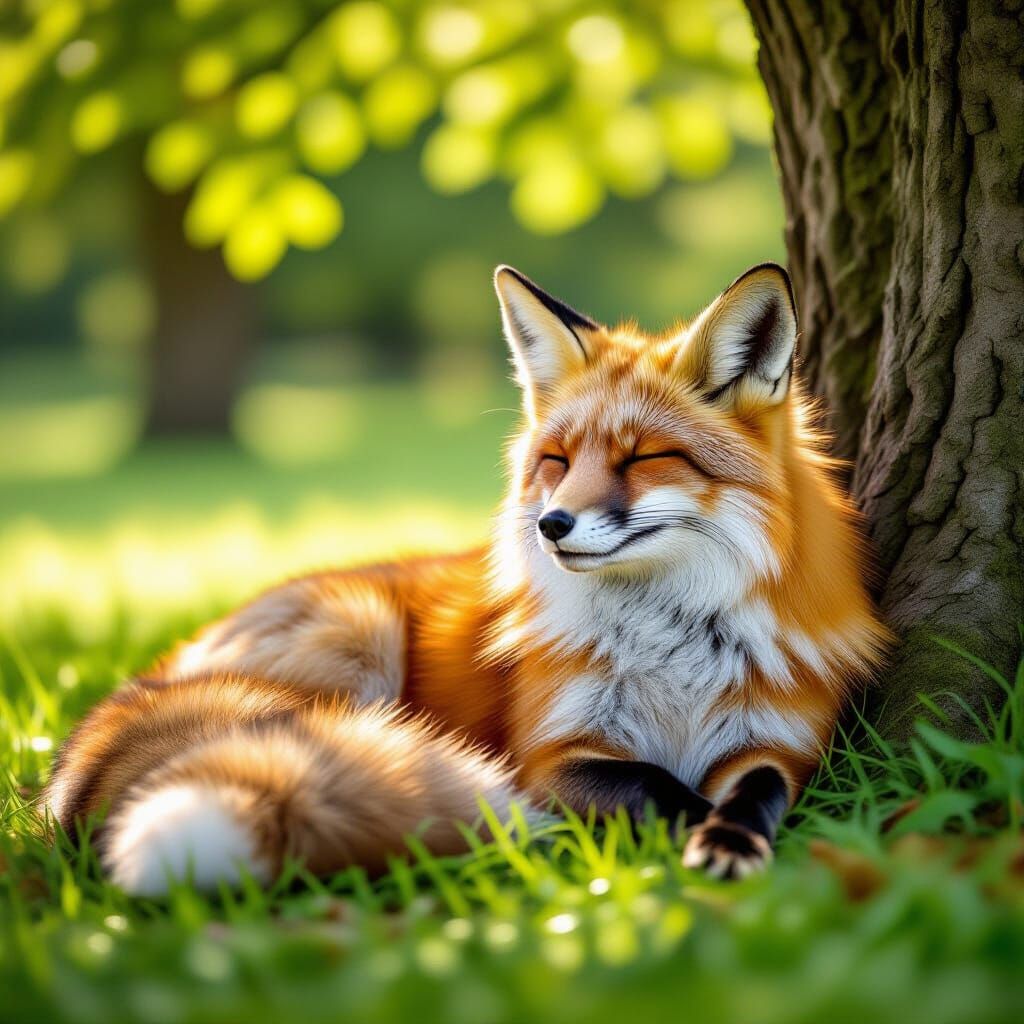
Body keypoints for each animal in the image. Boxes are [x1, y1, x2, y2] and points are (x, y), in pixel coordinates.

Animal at [45, 263, 890, 894]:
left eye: (645, 457)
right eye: (557, 462)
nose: (552, 525)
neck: (672, 648)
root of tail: (151, 677)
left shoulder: (781, 742)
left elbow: (756, 794)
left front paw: (734, 840)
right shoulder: (551, 755)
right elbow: (659, 788)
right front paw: (683, 829)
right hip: (360, 640)